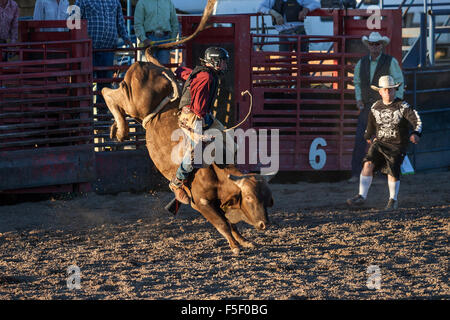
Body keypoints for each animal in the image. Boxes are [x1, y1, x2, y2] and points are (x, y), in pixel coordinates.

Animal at [103, 52, 274, 255]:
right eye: (249, 197)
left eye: (266, 197)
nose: (264, 224)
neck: (217, 172)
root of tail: (151, 66)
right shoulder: (201, 202)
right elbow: (222, 224)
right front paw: (235, 246)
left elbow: (231, 223)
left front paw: (244, 241)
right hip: (134, 101)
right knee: (108, 93)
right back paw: (122, 130)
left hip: (136, 107)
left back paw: (116, 128)